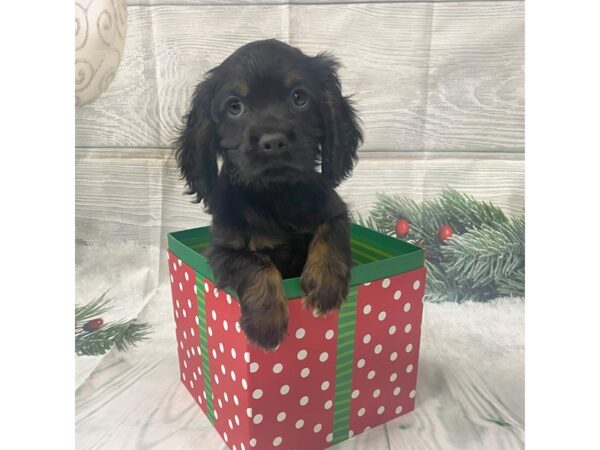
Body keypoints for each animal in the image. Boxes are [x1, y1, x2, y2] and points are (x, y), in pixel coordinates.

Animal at [173, 38, 360, 350]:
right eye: (235, 106)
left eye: (299, 97)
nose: (273, 142)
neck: (276, 194)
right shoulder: (223, 249)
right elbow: (254, 262)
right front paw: (266, 321)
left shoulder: (335, 211)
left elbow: (329, 233)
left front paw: (325, 285)